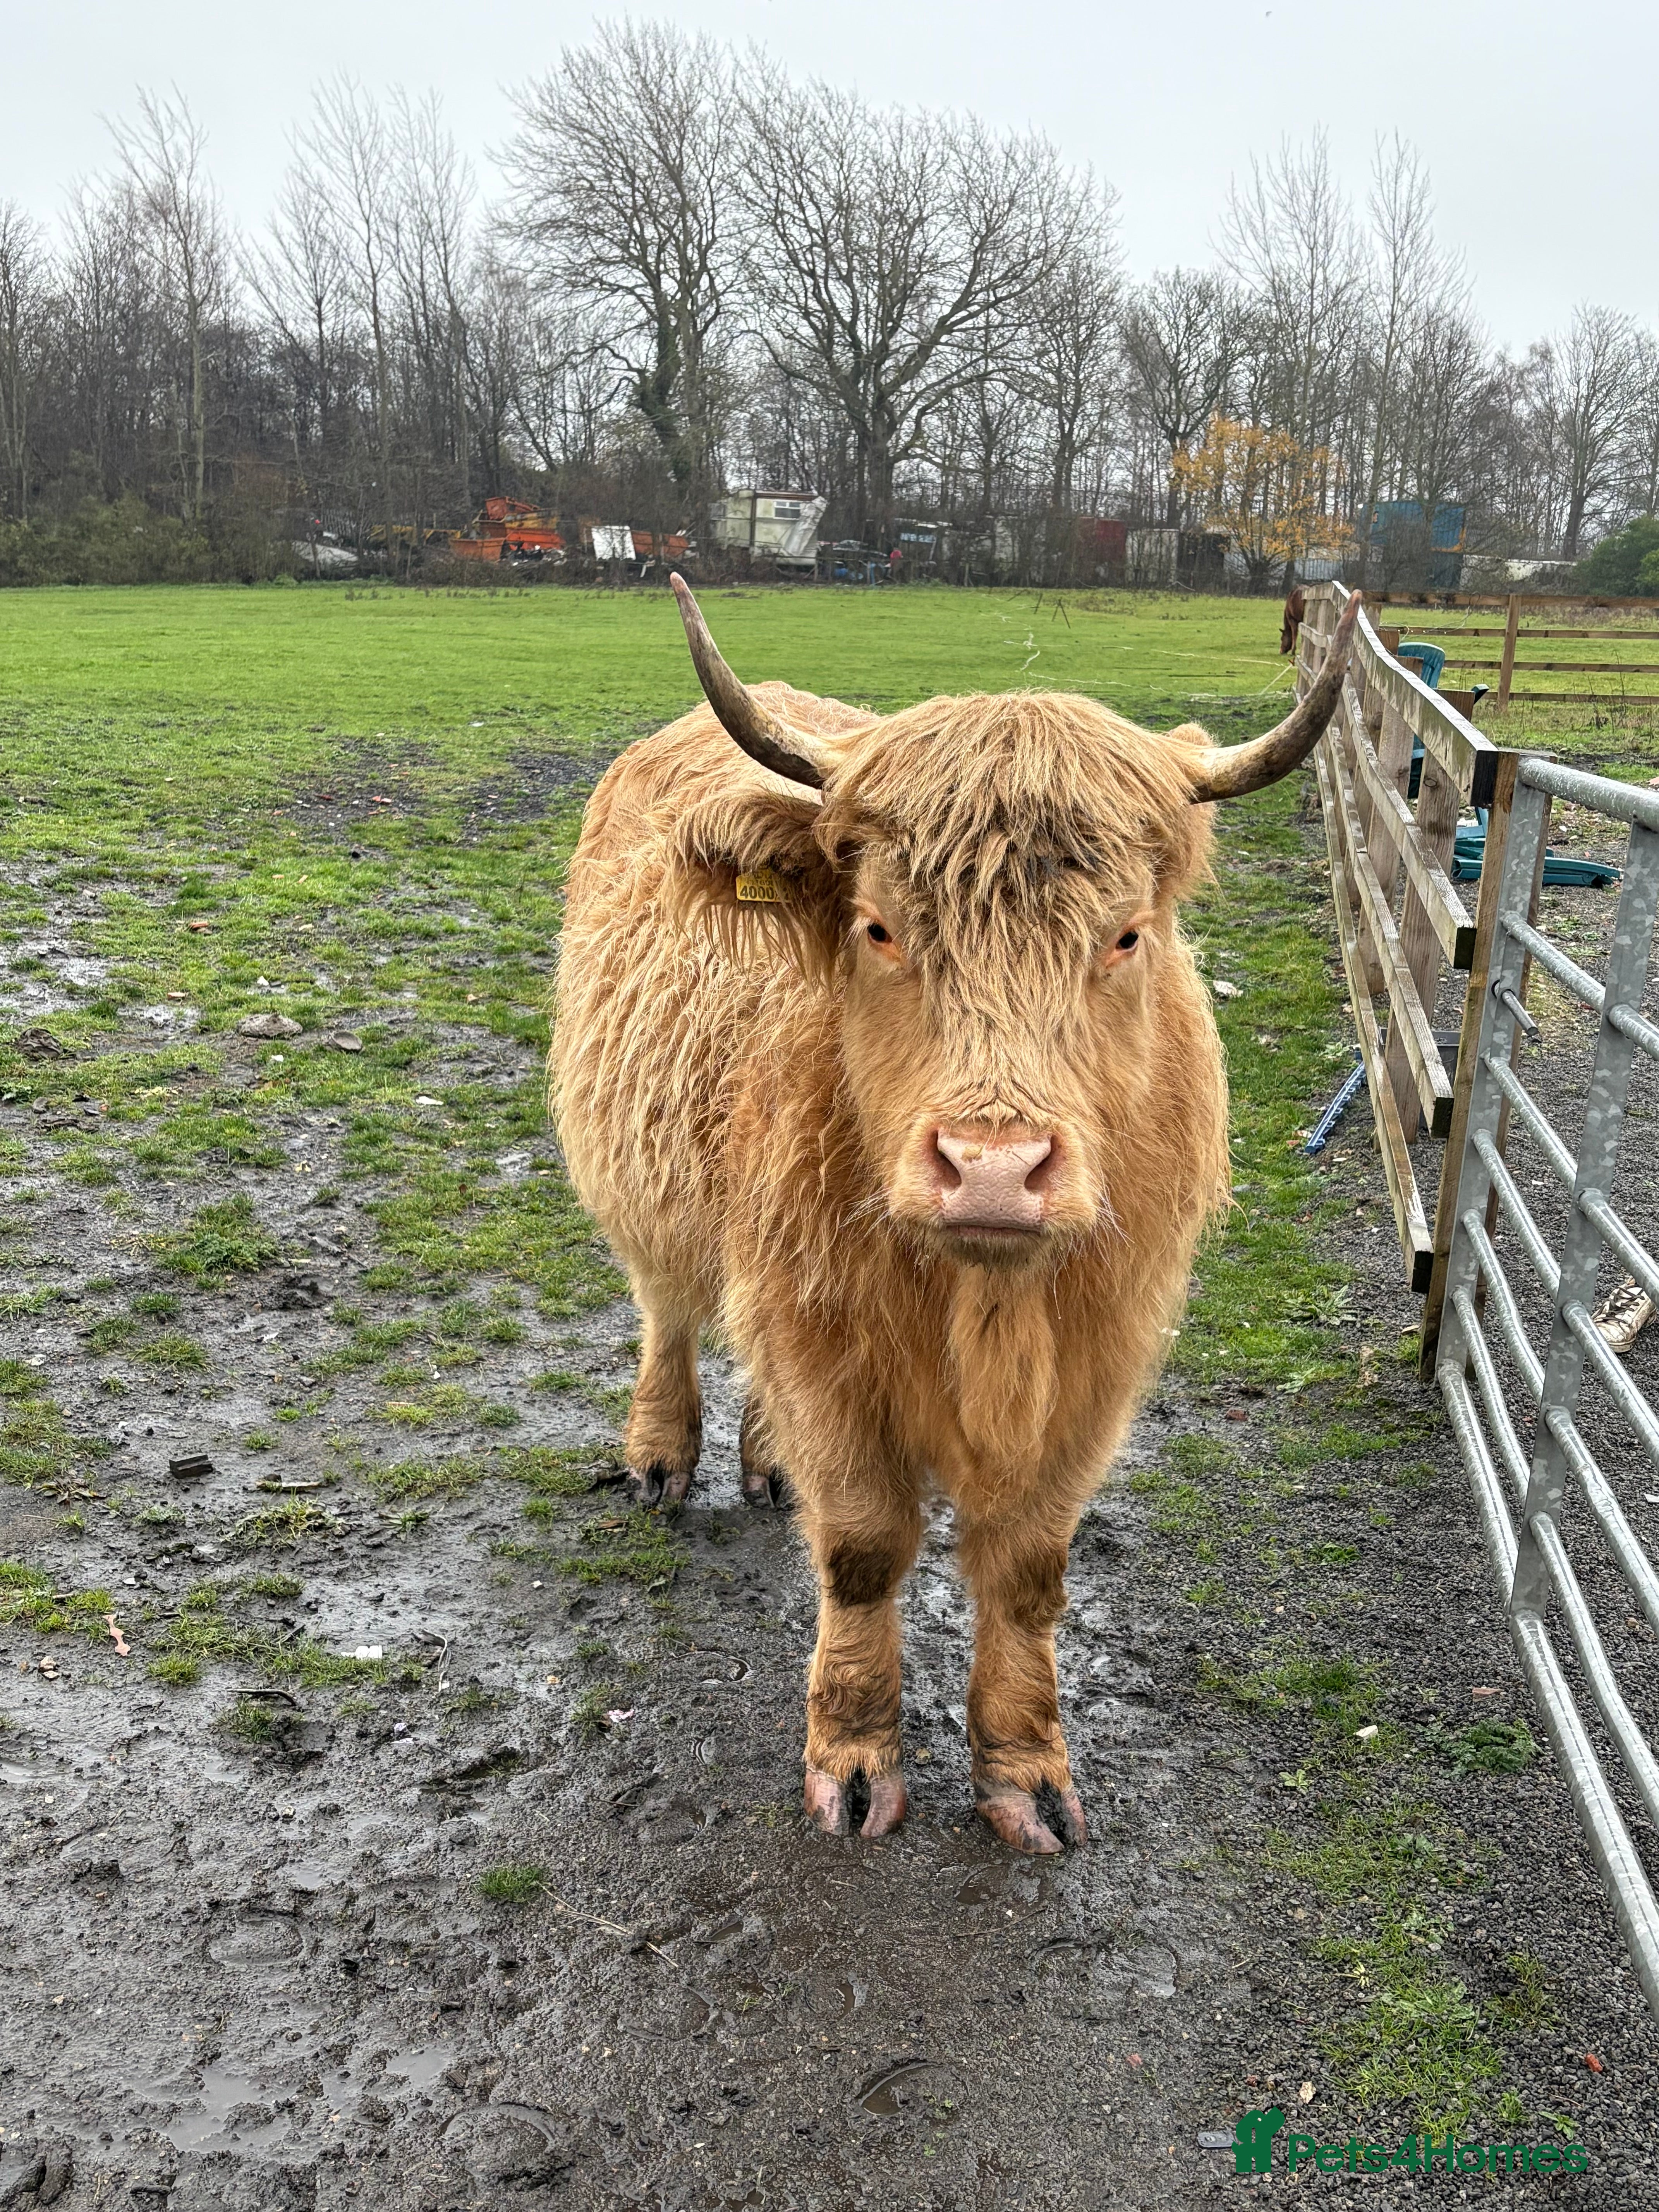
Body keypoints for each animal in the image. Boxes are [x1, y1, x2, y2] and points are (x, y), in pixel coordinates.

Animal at [551, 578, 1360, 1853]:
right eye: (880, 926)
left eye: (1125, 934)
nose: (991, 1168)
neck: (982, 1304)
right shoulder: (822, 1340)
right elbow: (863, 1548)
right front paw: (855, 1759)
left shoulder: (1095, 1364)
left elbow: (1029, 1570)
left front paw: (1025, 1770)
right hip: (648, 1181)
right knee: (670, 1309)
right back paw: (662, 1455)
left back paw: (764, 1462)